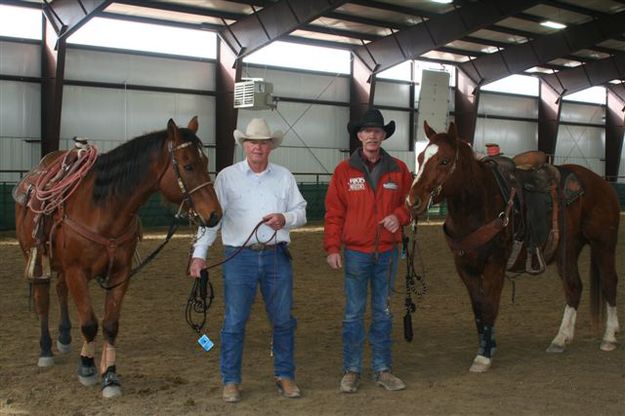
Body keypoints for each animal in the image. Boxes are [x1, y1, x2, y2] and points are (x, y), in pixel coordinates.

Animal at [12, 117, 224, 396]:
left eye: (206, 162)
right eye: (188, 165)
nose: (215, 214)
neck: (103, 209)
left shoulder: (120, 273)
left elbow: (111, 324)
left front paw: (110, 375)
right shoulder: (77, 272)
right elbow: (89, 323)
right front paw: (87, 367)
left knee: (60, 290)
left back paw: (64, 337)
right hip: (36, 260)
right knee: (43, 300)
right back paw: (46, 349)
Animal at [404, 122, 620, 372]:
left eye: (445, 161)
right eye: (421, 157)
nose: (412, 201)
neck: (479, 204)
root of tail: (602, 183)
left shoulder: (495, 264)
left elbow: (490, 306)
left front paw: (483, 357)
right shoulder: (465, 266)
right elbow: (478, 308)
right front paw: (488, 344)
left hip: (604, 244)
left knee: (609, 283)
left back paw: (609, 337)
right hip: (568, 250)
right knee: (573, 287)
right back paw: (560, 339)